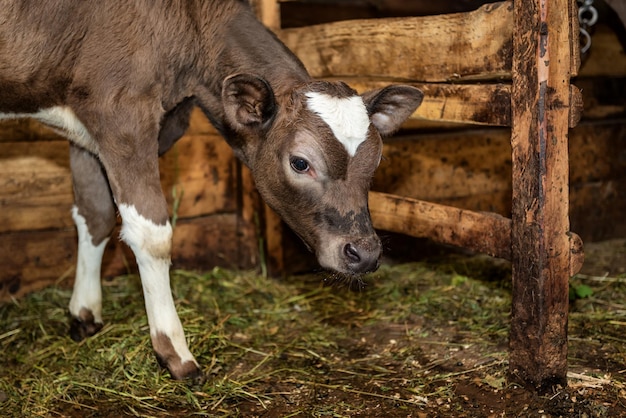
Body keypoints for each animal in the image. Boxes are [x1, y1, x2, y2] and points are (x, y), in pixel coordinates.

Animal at [0, 0, 422, 378]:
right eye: (300, 162)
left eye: (377, 161)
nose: (364, 254)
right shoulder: (120, 113)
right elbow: (152, 235)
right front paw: (175, 352)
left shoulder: (86, 122)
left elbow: (95, 214)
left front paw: (84, 314)